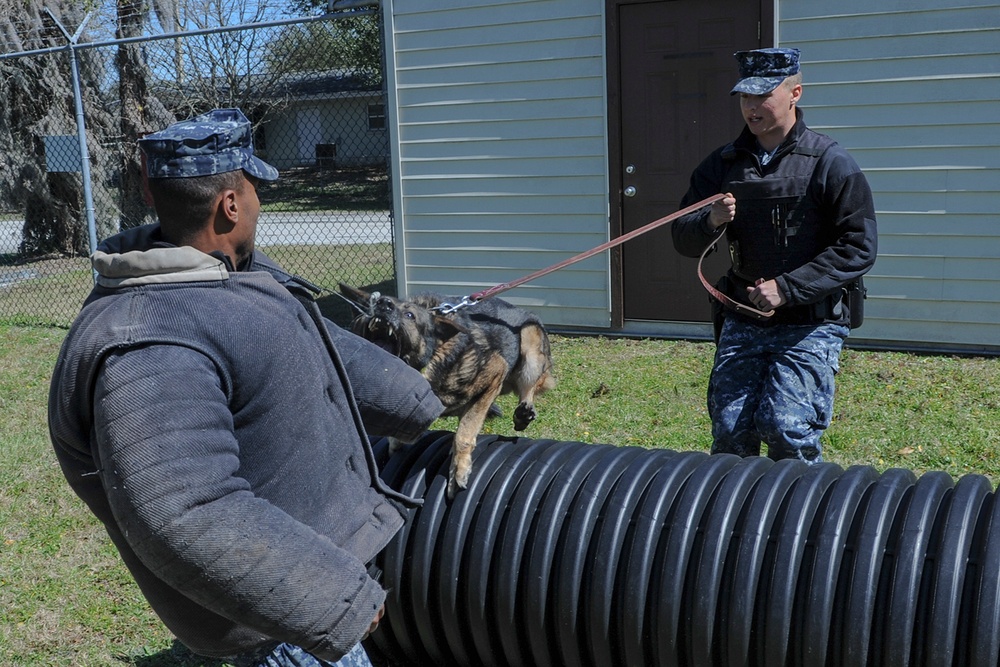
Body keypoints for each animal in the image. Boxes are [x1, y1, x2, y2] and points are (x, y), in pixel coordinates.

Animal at [336, 284, 556, 498]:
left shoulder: (495, 371)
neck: (433, 356)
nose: (383, 304)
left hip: (530, 346)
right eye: (371, 305)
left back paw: (523, 412)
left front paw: (459, 469)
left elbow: (465, 432)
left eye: (410, 315)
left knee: (529, 386)